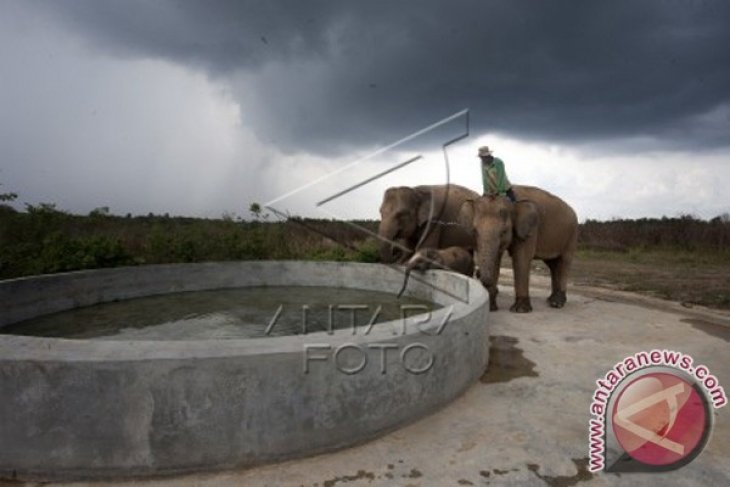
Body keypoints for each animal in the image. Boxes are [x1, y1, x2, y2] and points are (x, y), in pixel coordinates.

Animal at [458, 185, 576, 314]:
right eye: (475, 231)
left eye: (503, 232)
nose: (478, 273)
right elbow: (497, 258)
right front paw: (491, 308)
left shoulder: (530, 230)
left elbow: (521, 257)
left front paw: (520, 310)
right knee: (553, 265)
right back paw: (551, 300)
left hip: (571, 236)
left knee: (564, 262)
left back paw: (557, 303)